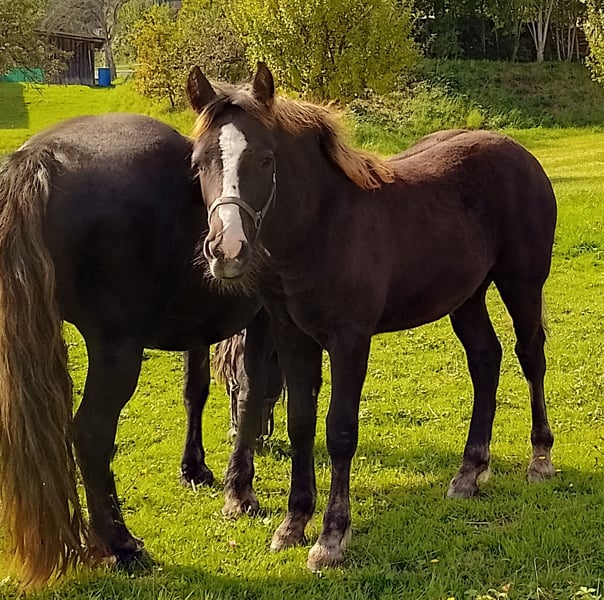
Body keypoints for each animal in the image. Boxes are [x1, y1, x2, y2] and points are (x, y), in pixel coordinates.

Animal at [0, 113, 280, 587]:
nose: (263, 440)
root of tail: (40, 156)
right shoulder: (261, 320)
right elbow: (251, 388)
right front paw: (241, 491)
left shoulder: (197, 332)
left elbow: (195, 392)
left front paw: (195, 469)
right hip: (118, 352)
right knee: (91, 433)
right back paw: (120, 546)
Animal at [185, 63, 558, 571]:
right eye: (199, 161)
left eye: (264, 159)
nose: (227, 249)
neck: (322, 227)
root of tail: (521, 153)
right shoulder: (292, 337)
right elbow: (300, 423)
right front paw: (293, 523)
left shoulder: (350, 340)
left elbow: (340, 430)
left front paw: (331, 538)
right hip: (467, 297)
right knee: (486, 359)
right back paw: (469, 471)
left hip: (522, 283)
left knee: (530, 356)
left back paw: (539, 459)